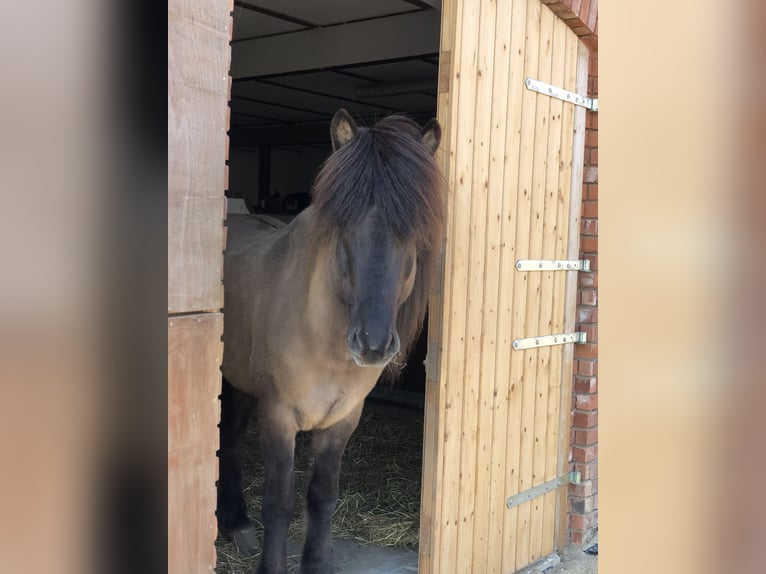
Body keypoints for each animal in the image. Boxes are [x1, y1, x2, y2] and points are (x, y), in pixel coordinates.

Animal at [218, 109, 444, 574]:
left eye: (413, 237)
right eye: (343, 232)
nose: (372, 344)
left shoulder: (343, 418)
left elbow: (322, 497)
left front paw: (318, 563)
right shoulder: (278, 416)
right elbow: (279, 502)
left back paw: (236, 521)